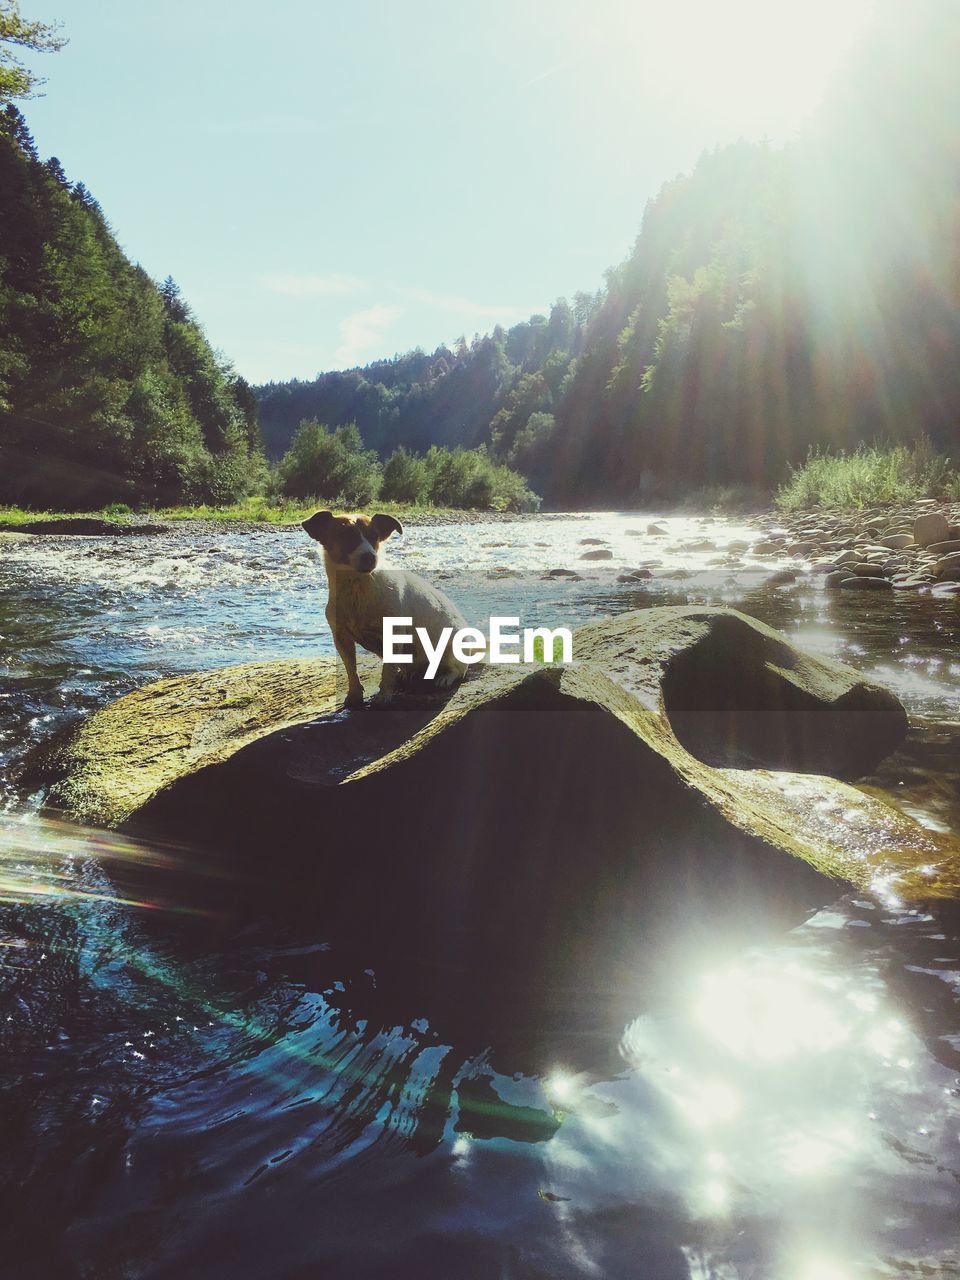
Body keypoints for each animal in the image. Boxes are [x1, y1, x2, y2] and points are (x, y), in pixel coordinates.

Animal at [302, 509, 471, 711]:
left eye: (374, 536)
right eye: (346, 535)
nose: (370, 557)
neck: (357, 587)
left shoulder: (393, 635)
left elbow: (387, 671)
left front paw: (384, 696)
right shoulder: (342, 639)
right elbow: (352, 670)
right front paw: (354, 696)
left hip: (453, 648)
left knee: (458, 670)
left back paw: (445, 678)